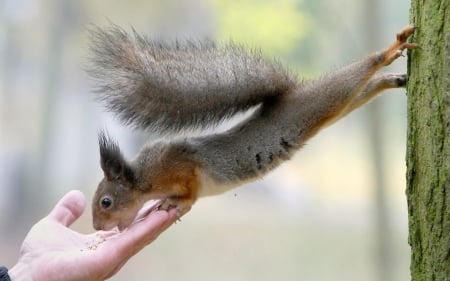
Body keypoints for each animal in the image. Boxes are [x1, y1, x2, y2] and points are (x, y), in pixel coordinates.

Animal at [88, 24, 418, 230]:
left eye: (106, 201)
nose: (97, 226)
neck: (144, 178)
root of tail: (292, 94)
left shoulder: (181, 166)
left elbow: (190, 190)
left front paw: (174, 203)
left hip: (321, 100)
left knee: (353, 76)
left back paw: (389, 51)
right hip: (333, 108)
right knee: (361, 91)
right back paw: (391, 79)